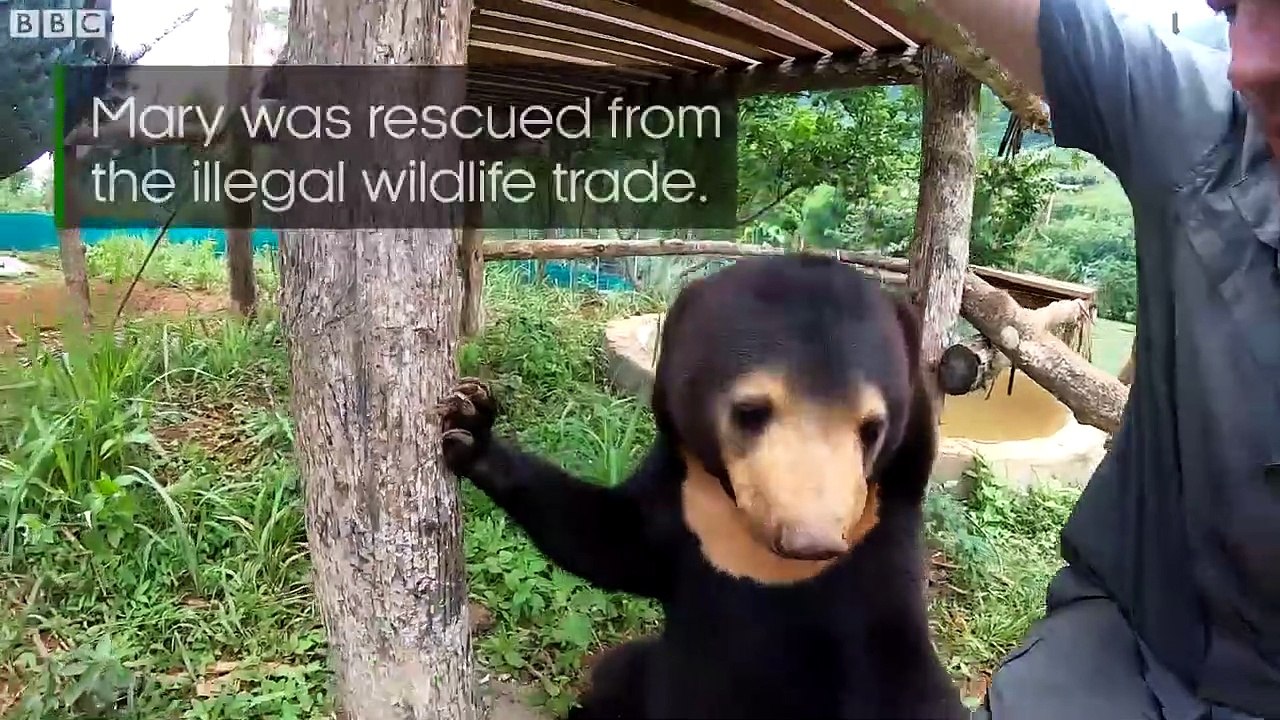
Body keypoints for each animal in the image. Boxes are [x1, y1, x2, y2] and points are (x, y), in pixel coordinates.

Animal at [437, 254, 967, 719]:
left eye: (871, 427)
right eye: (751, 412)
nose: (811, 540)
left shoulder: (878, 544)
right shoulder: (683, 503)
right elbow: (610, 539)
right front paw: (469, 425)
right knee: (616, 674)